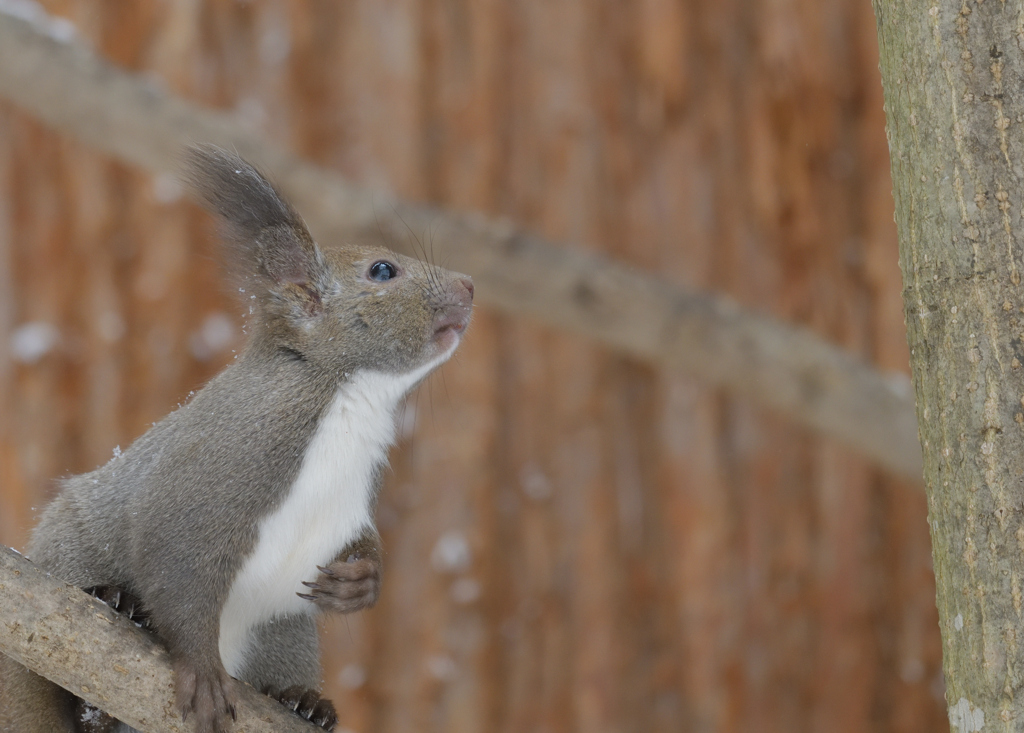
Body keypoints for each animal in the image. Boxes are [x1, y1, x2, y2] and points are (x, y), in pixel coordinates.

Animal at [0, 146, 473, 728]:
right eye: (382, 271)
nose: (469, 286)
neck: (350, 402)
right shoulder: (216, 475)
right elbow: (179, 573)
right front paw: (201, 673)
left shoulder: (349, 505)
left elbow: (362, 544)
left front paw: (363, 581)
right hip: (71, 560)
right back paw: (111, 628)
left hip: (283, 631)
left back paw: (304, 701)